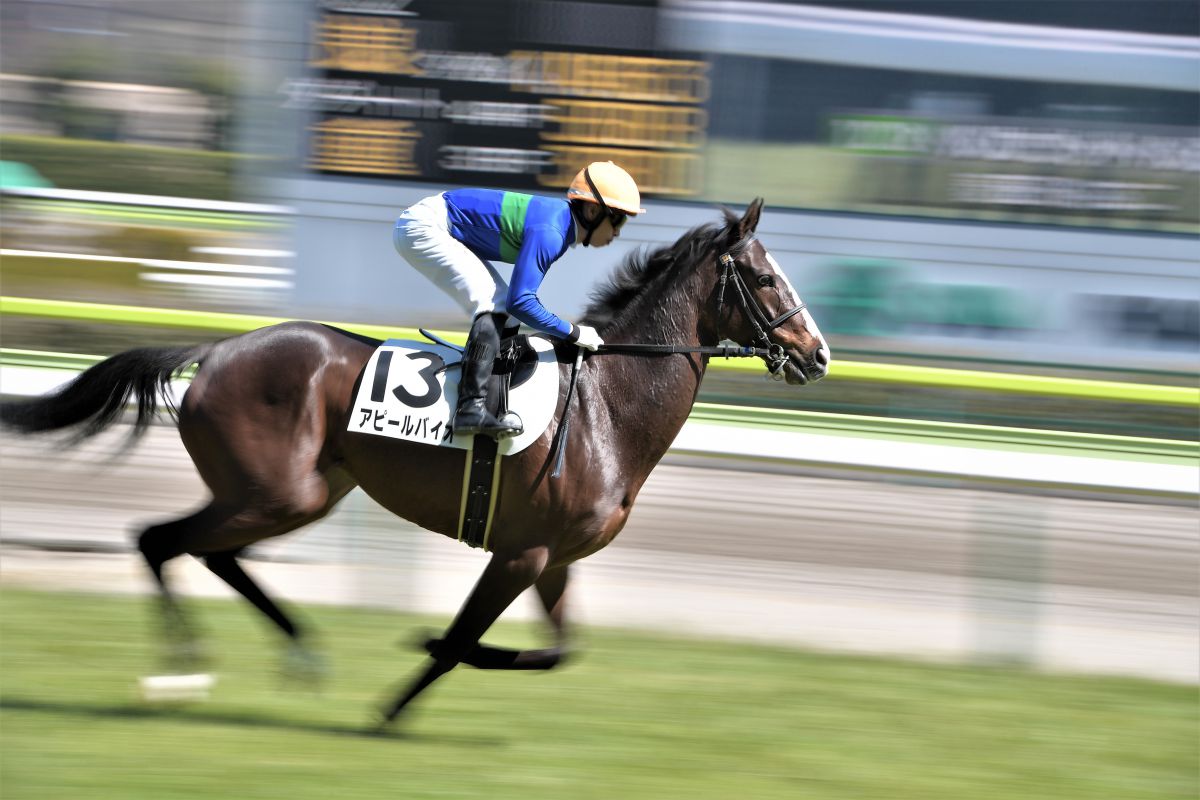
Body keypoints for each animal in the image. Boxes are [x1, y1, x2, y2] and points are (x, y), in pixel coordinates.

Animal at [0, 198, 830, 724]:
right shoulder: (521, 552)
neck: (606, 409)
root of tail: (215, 350)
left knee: (209, 554)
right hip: (276, 491)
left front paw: (422, 661)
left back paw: (295, 653)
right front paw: (398, 694)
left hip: (301, 492)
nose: (818, 354)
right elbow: (461, 641)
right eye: (765, 278)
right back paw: (183, 669)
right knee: (159, 540)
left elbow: (558, 653)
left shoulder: (553, 557)